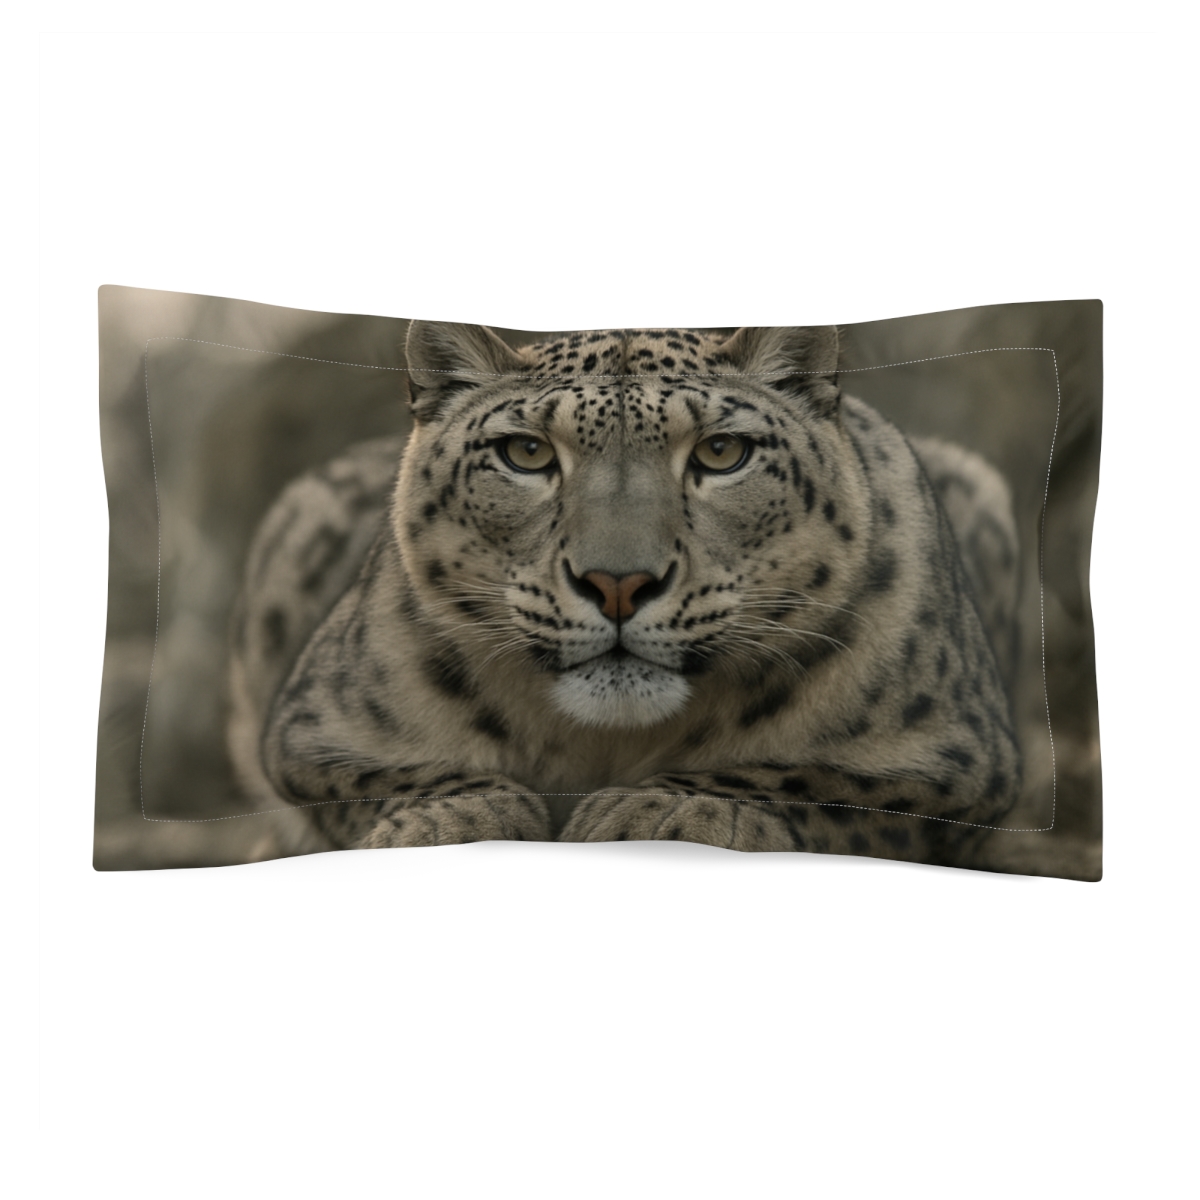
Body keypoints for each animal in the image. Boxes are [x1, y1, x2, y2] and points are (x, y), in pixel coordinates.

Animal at [227, 322, 1023, 865]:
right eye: (526, 452)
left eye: (721, 451)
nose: (617, 583)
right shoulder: (311, 737)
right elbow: (394, 781)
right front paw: (446, 822)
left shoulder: (954, 761)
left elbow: (817, 783)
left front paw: (658, 813)